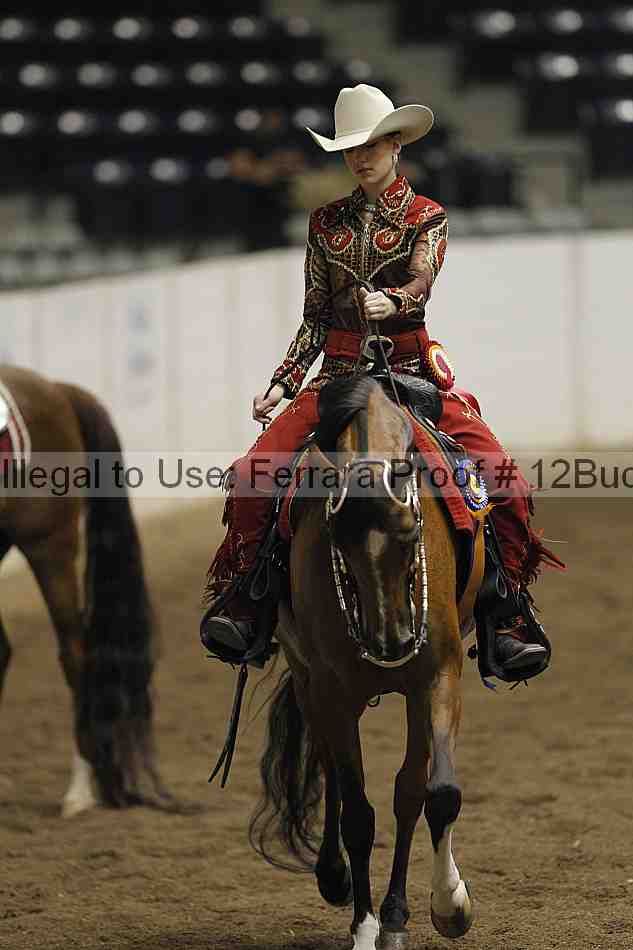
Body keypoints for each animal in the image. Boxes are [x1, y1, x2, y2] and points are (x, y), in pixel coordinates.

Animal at [249, 374, 481, 949]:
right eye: (338, 540)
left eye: (410, 533)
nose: (391, 642)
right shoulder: (332, 689)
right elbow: (357, 811)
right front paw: (364, 925)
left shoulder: (438, 676)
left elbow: (432, 793)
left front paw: (448, 906)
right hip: (309, 679)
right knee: (331, 770)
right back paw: (335, 877)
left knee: (402, 790)